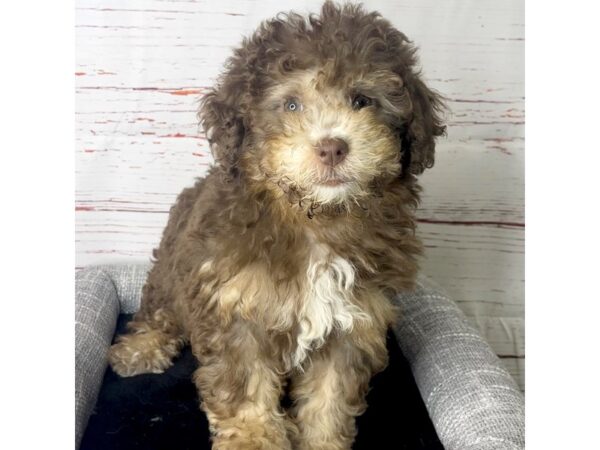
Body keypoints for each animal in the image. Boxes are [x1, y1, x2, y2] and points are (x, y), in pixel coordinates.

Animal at [109, 1, 446, 448]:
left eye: (362, 100)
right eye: (290, 105)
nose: (332, 147)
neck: (315, 217)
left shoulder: (353, 321)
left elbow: (330, 394)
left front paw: (323, 441)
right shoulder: (236, 310)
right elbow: (246, 384)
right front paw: (253, 438)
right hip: (170, 269)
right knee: (158, 309)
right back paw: (140, 349)